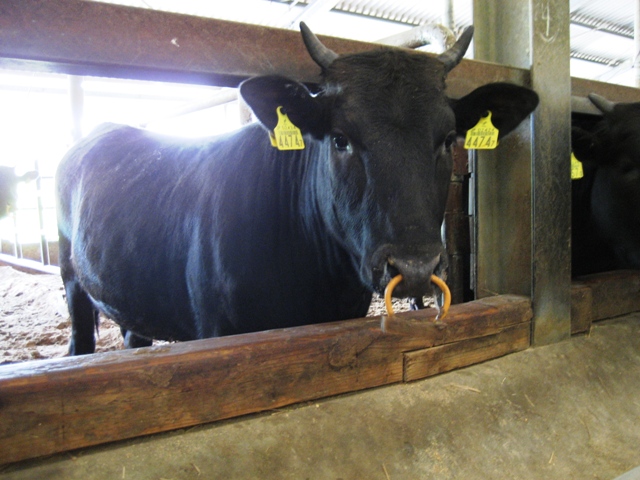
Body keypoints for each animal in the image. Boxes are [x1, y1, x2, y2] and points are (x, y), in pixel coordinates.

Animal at [56, 24, 540, 354]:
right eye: (341, 138)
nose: (415, 267)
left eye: (447, 139)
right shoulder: (217, 328)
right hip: (71, 279)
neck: (316, 284)